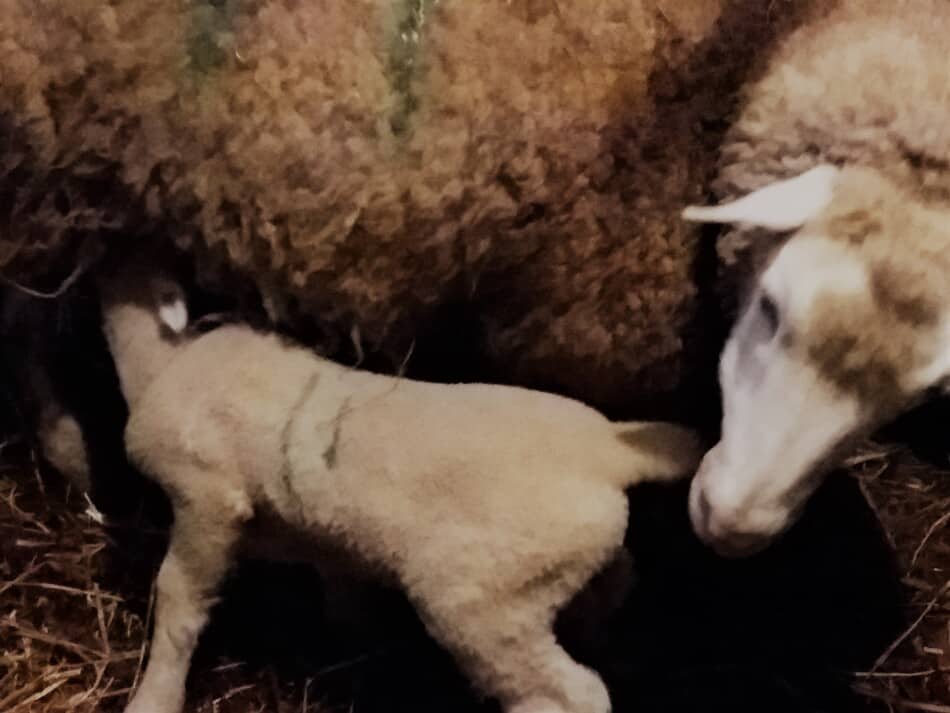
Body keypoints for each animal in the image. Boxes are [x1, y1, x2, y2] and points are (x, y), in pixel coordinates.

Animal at [98, 252, 708, 713]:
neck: (161, 361)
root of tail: (607, 449)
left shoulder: (207, 497)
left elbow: (178, 600)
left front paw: (154, 697)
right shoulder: (314, 536)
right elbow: (337, 583)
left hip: (483, 601)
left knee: (571, 694)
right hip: (562, 561)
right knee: (618, 579)